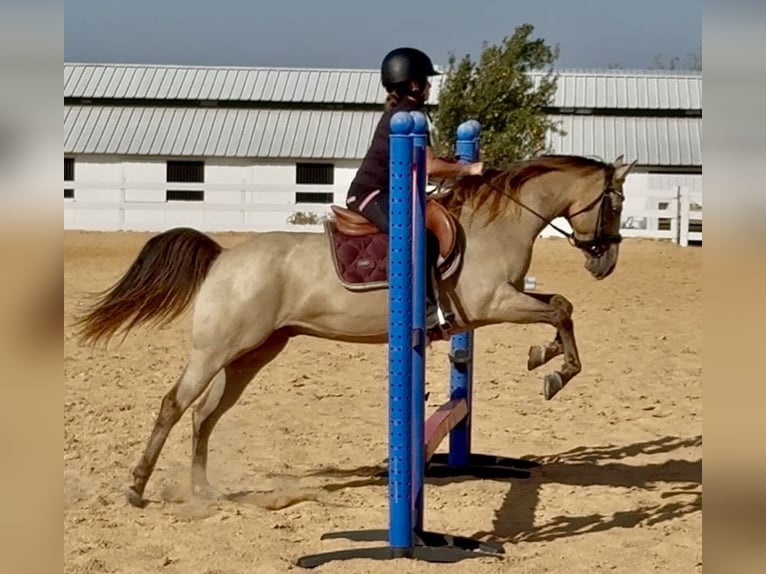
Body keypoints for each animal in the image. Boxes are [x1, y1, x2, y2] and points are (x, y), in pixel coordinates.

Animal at [72, 153, 636, 508]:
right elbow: (559, 311)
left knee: (204, 415)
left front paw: (546, 361)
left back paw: (204, 490)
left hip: (253, 354)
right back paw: (137, 488)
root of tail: (223, 257)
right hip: (217, 349)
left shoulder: (504, 301)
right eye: (615, 203)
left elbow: (560, 307)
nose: (606, 263)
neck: (495, 224)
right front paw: (553, 370)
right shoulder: (493, 303)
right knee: (175, 404)